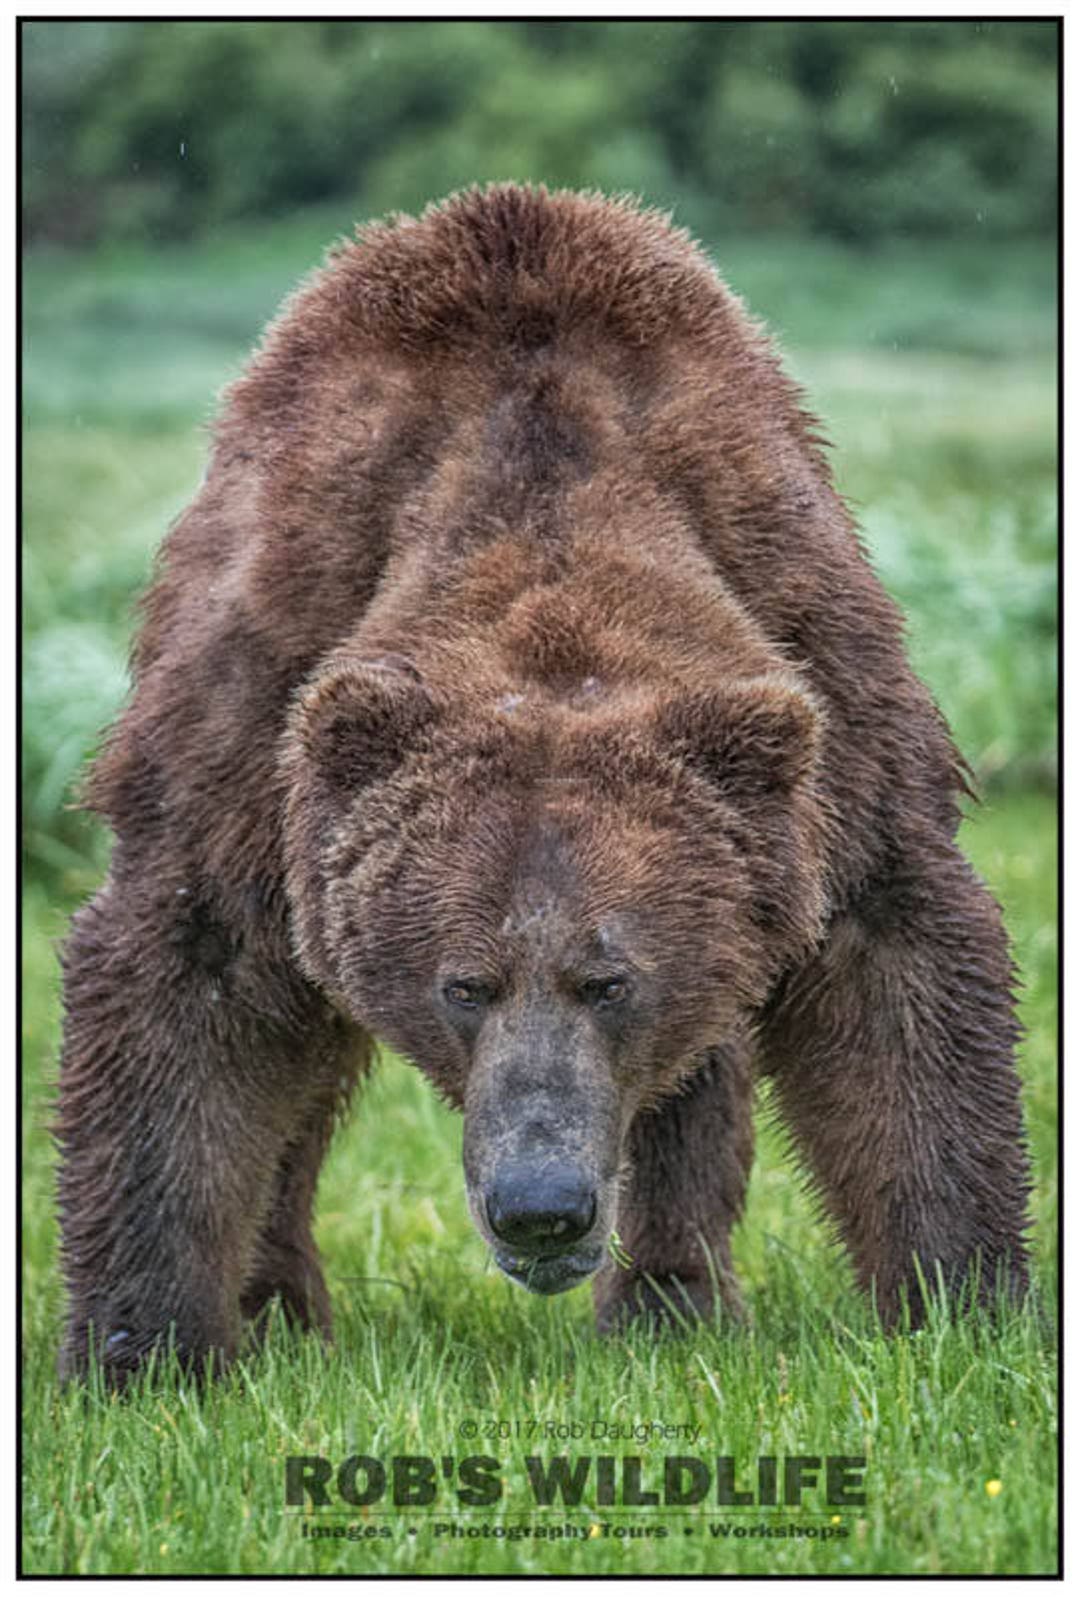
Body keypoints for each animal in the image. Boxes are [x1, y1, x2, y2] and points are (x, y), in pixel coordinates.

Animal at [54, 183, 1035, 1386]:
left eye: (609, 981)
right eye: (462, 983)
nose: (541, 1206)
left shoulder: (814, 676)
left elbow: (891, 963)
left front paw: (966, 1304)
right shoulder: (267, 679)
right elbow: (193, 971)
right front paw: (139, 1347)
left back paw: (671, 1300)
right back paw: (279, 1306)